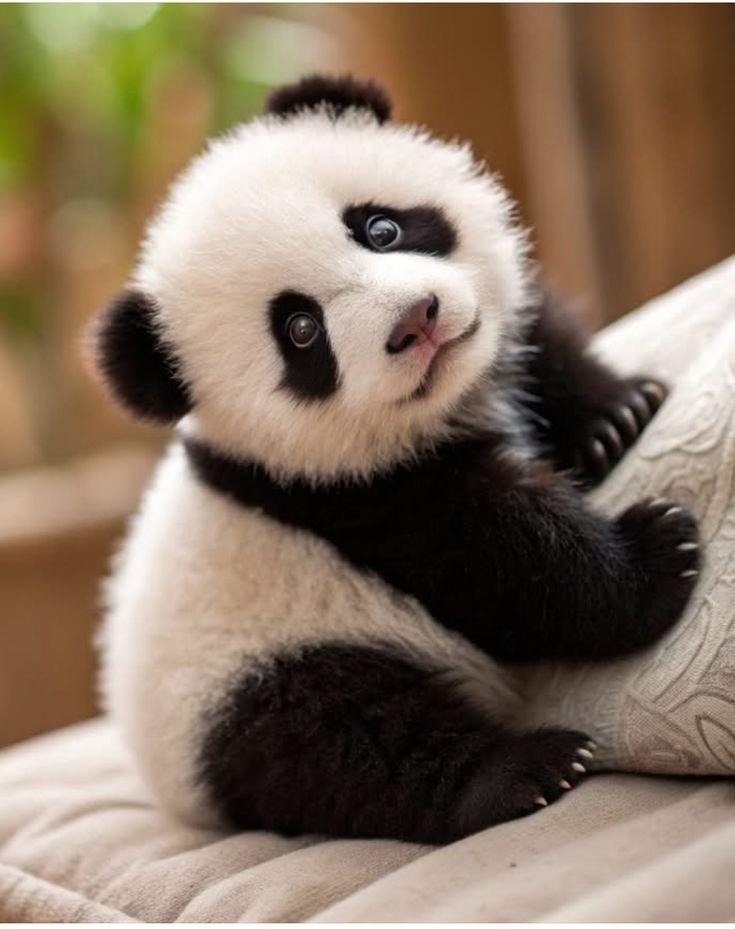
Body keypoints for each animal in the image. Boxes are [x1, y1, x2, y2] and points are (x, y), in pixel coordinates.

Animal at [92, 74, 701, 845]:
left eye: (379, 228)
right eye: (301, 330)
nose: (416, 320)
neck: (445, 407)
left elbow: (538, 333)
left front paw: (612, 414)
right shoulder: (341, 494)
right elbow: (498, 556)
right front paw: (657, 556)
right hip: (249, 678)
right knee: (347, 735)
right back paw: (519, 774)